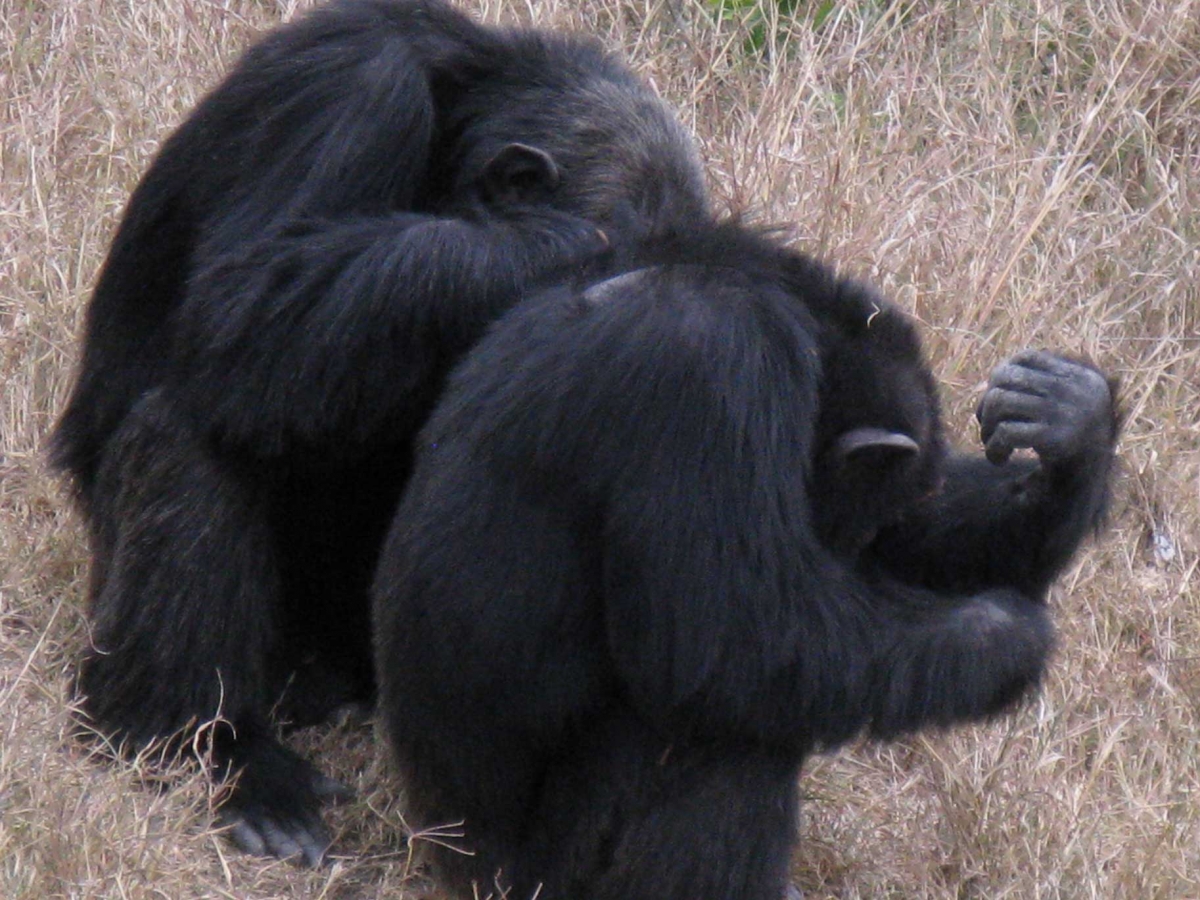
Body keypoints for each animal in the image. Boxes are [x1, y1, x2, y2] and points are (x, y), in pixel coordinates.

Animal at [376, 224, 1123, 900]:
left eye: (870, 529)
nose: (847, 550)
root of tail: (441, 852)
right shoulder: (713, 370)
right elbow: (734, 641)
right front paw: (1002, 635)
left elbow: (925, 540)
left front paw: (1071, 421)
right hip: (544, 879)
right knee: (722, 738)